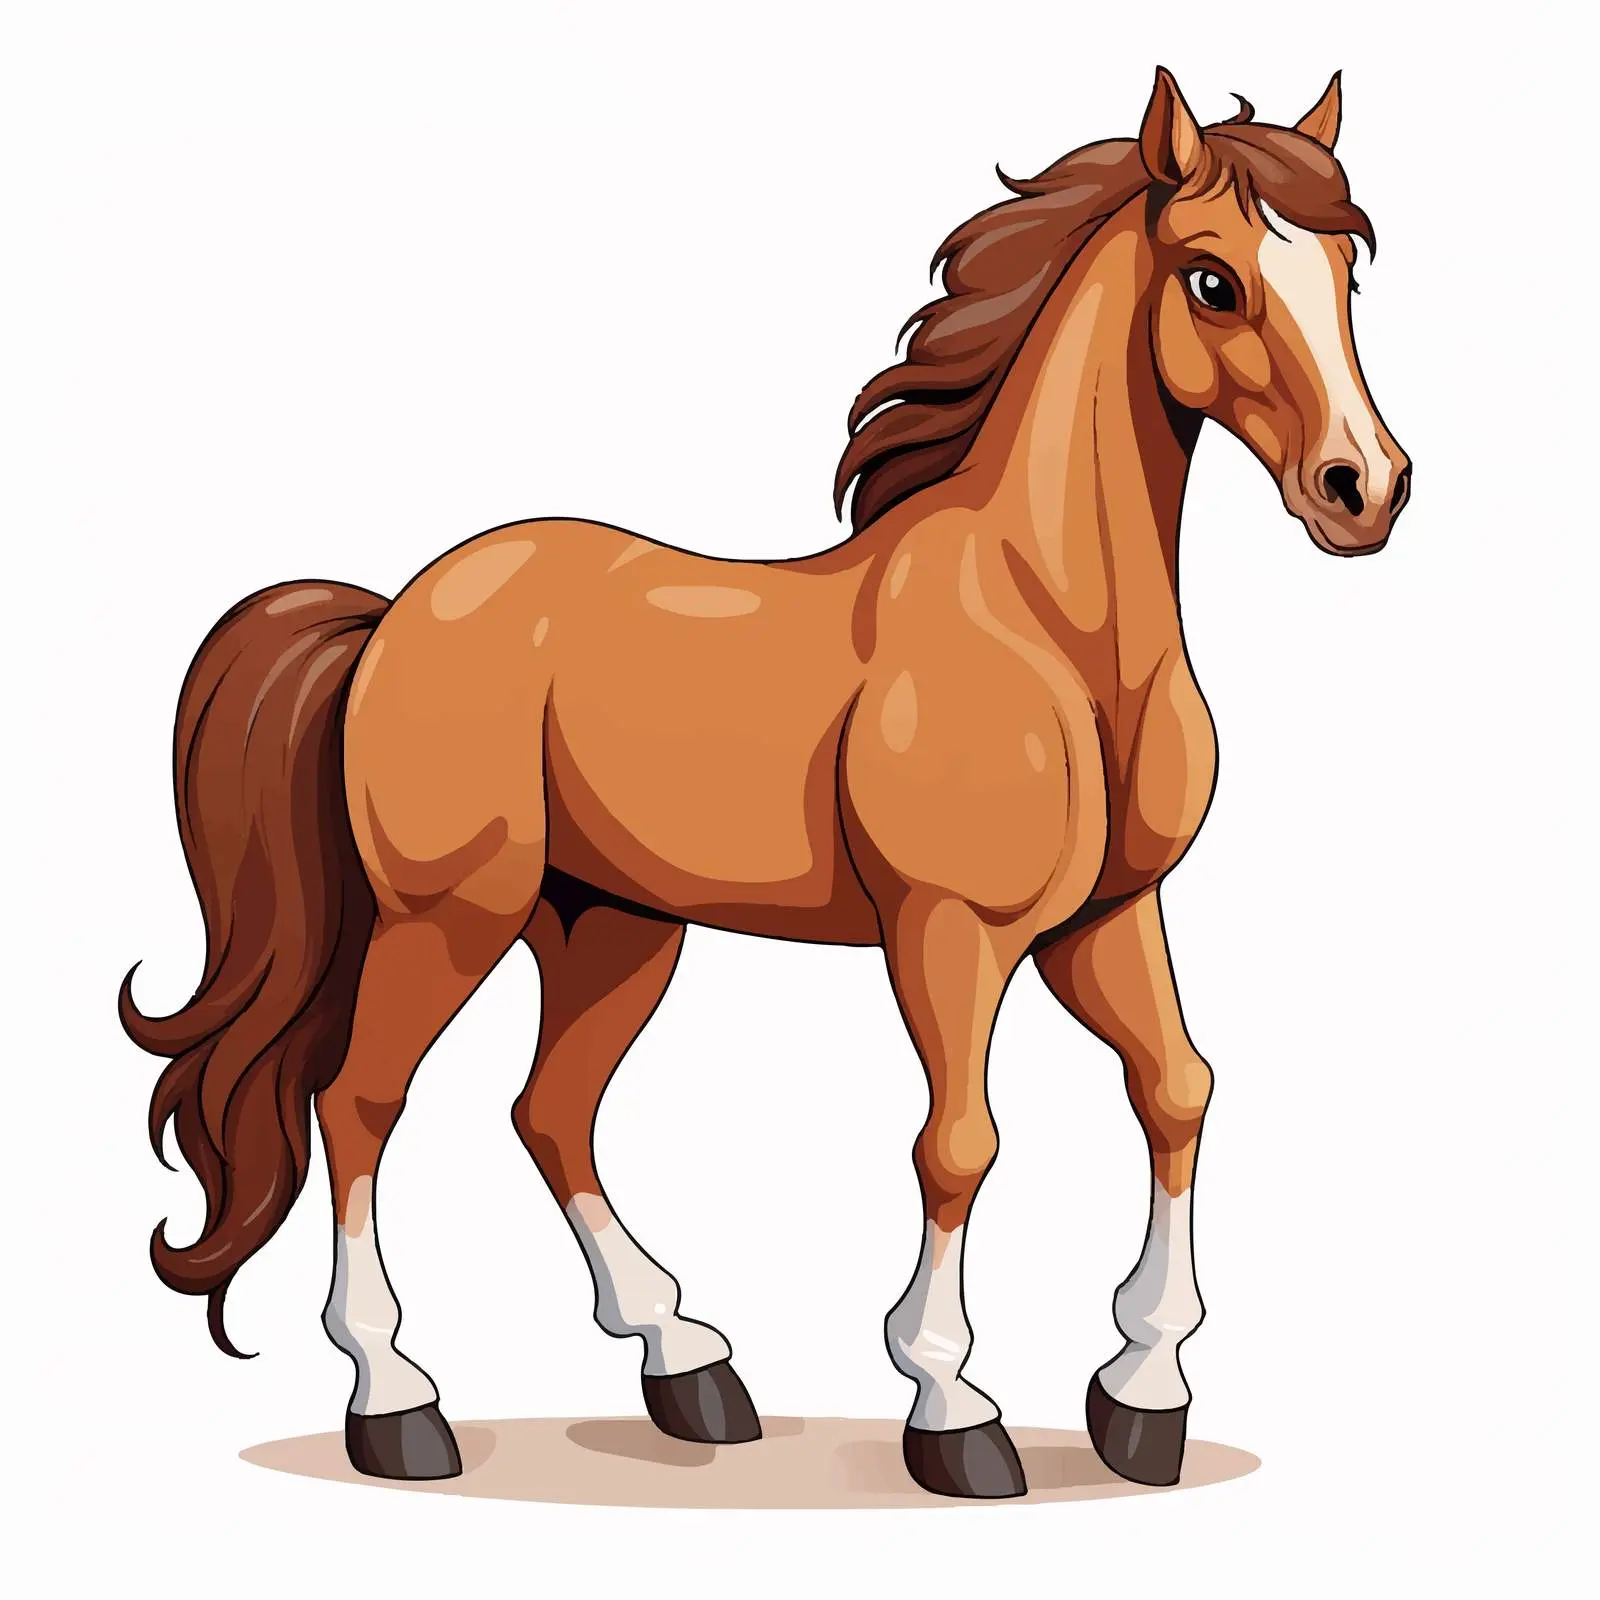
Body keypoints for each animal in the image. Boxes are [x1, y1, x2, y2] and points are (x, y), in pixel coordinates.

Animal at [122, 67, 1409, 1500]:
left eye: (1348, 270)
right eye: (1211, 280)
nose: (1364, 488)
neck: (1047, 624)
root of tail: (394, 611)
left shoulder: (1106, 919)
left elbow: (1177, 1088)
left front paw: (1142, 1393)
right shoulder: (950, 933)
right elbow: (958, 1141)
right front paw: (951, 1409)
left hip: (613, 927)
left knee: (549, 1112)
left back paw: (689, 1368)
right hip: (450, 918)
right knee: (358, 1103)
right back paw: (399, 1403)